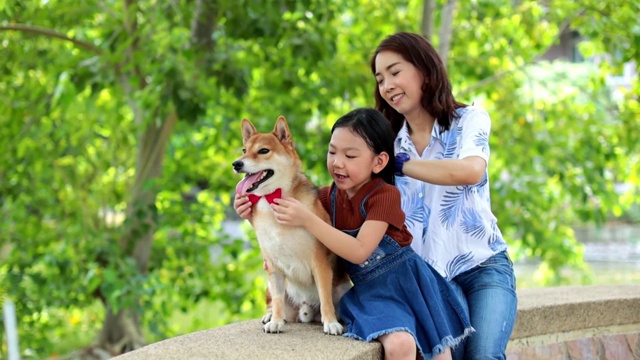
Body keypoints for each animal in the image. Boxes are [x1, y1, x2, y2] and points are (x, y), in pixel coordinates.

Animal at [231, 115, 350, 334]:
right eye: (244, 150)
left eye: (263, 151)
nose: (236, 164)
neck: (273, 200)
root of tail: (304, 309)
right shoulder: (274, 267)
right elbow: (278, 300)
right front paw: (276, 321)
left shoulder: (319, 263)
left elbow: (325, 298)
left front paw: (330, 323)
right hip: (269, 284)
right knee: (273, 301)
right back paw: (270, 316)